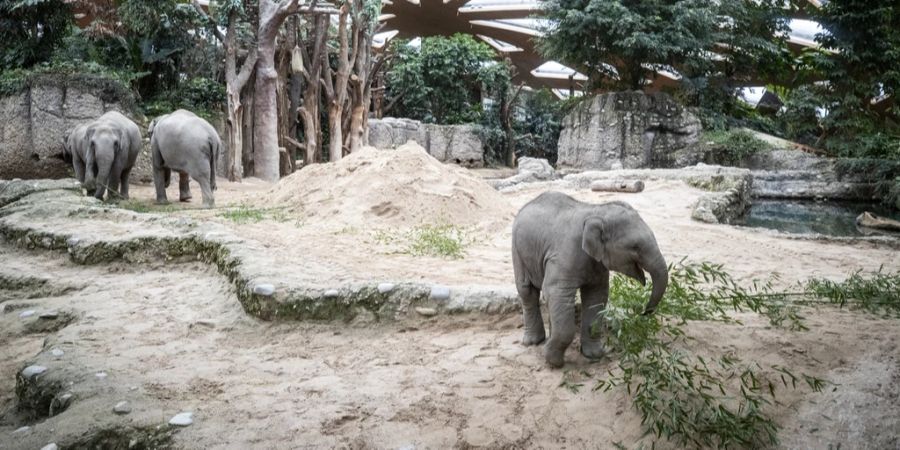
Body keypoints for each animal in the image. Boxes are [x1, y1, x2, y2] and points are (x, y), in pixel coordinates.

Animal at [512, 192, 668, 368]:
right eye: (635, 247)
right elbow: (556, 292)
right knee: (527, 291)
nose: (643, 312)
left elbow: (596, 297)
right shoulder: (564, 254)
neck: (597, 211)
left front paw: (593, 355)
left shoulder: (597, 263)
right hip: (517, 250)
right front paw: (554, 362)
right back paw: (534, 342)